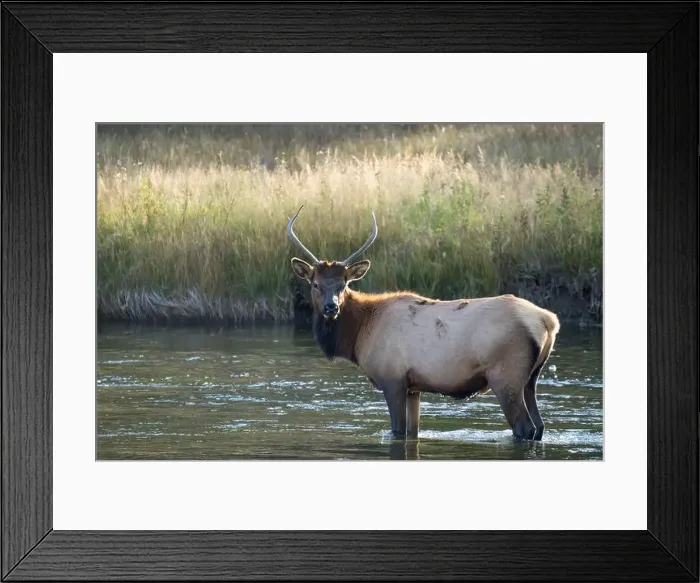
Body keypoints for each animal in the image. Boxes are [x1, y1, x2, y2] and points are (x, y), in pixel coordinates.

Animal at [287, 205, 560, 441]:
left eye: (344, 284)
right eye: (315, 284)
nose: (331, 308)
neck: (359, 334)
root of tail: (548, 321)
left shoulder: (392, 379)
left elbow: (398, 430)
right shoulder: (413, 387)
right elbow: (412, 431)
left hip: (506, 376)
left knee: (525, 427)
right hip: (531, 378)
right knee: (539, 426)